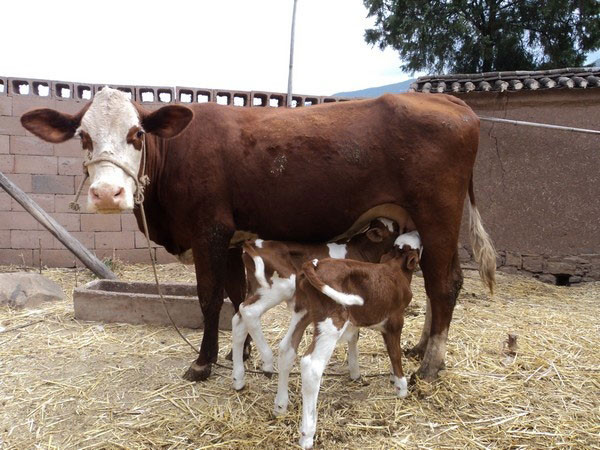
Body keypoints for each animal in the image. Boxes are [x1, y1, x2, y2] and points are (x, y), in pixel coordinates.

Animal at [232, 219, 400, 390]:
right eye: (397, 229)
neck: (360, 250)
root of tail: (255, 243)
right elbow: (355, 335)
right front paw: (355, 372)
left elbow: (354, 335)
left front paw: (355, 372)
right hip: (281, 286)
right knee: (249, 311)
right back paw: (267, 362)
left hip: (256, 288)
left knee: (238, 319)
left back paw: (238, 379)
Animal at [274, 232, 420, 450]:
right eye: (417, 248)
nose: (417, 233)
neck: (395, 269)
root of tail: (314, 265)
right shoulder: (395, 319)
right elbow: (395, 352)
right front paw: (401, 387)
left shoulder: (356, 322)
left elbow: (354, 339)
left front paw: (356, 373)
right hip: (331, 321)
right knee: (311, 366)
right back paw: (307, 434)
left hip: (303, 311)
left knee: (287, 348)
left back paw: (280, 405)